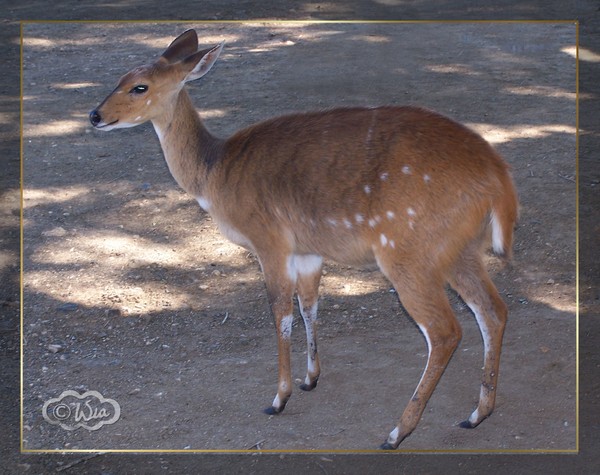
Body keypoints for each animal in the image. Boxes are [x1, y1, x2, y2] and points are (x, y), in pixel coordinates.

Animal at [89, 29, 516, 450]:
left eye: (139, 86)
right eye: (120, 77)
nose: (95, 115)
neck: (214, 173)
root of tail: (499, 180)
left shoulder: (269, 241)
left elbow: (281, 312)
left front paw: (279, 398)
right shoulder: (308, 250)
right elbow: (309, 303)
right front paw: (310, 378)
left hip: (408, 253)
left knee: (445, 330)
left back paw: (397, 432)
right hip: (460, 250)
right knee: (493, 309)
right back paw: (476, 414)